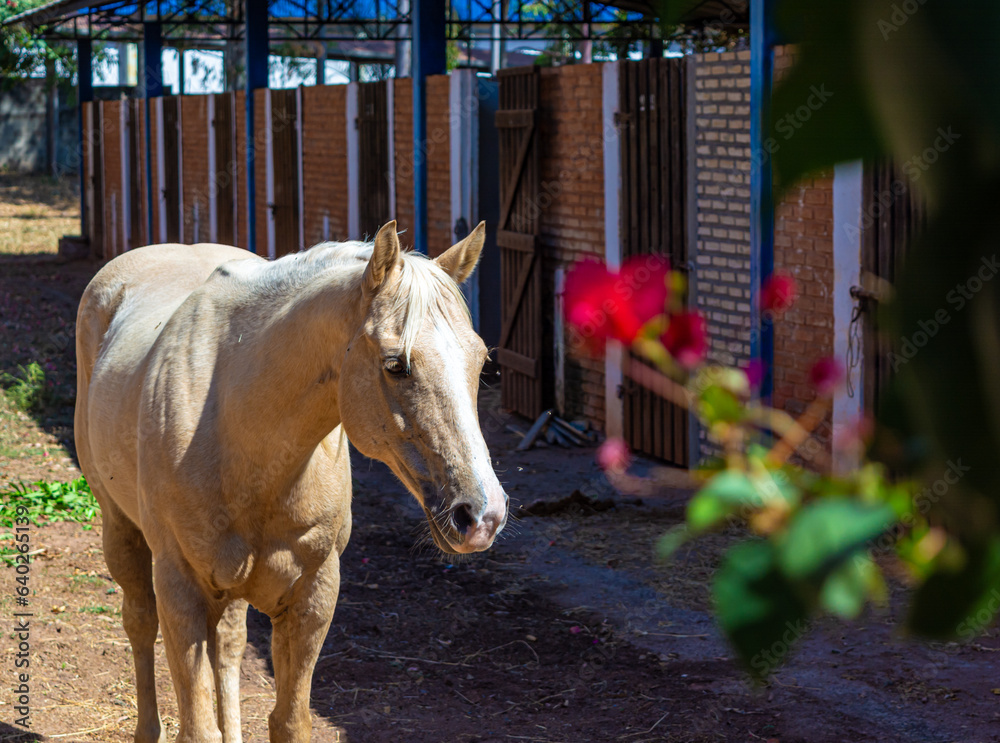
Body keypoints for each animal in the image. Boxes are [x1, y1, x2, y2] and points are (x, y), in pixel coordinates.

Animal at [74, 221, 508, 743]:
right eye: (395, 364)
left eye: (481, 362)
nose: (481, 516)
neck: (240, 432)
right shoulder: (180, 589)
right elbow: (197, 726)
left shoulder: (313, 595)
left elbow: (289, 720)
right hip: (121, 532)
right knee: (139, 623)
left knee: (228, 644)